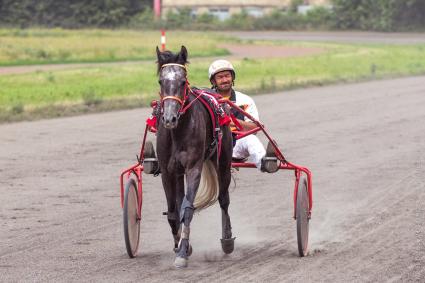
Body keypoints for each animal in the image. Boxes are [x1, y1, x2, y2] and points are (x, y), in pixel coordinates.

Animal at [155, 45, 235, 268]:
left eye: (183, 81)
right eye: (161, 81)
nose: (169, 118)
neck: (178, 131)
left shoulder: (193, 168)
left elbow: (188, 209)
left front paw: (182, 253)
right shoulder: (168, 172)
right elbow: (174, 212)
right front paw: (180, 246)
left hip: (222, 160)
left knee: (224, 199)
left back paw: (227, 240)